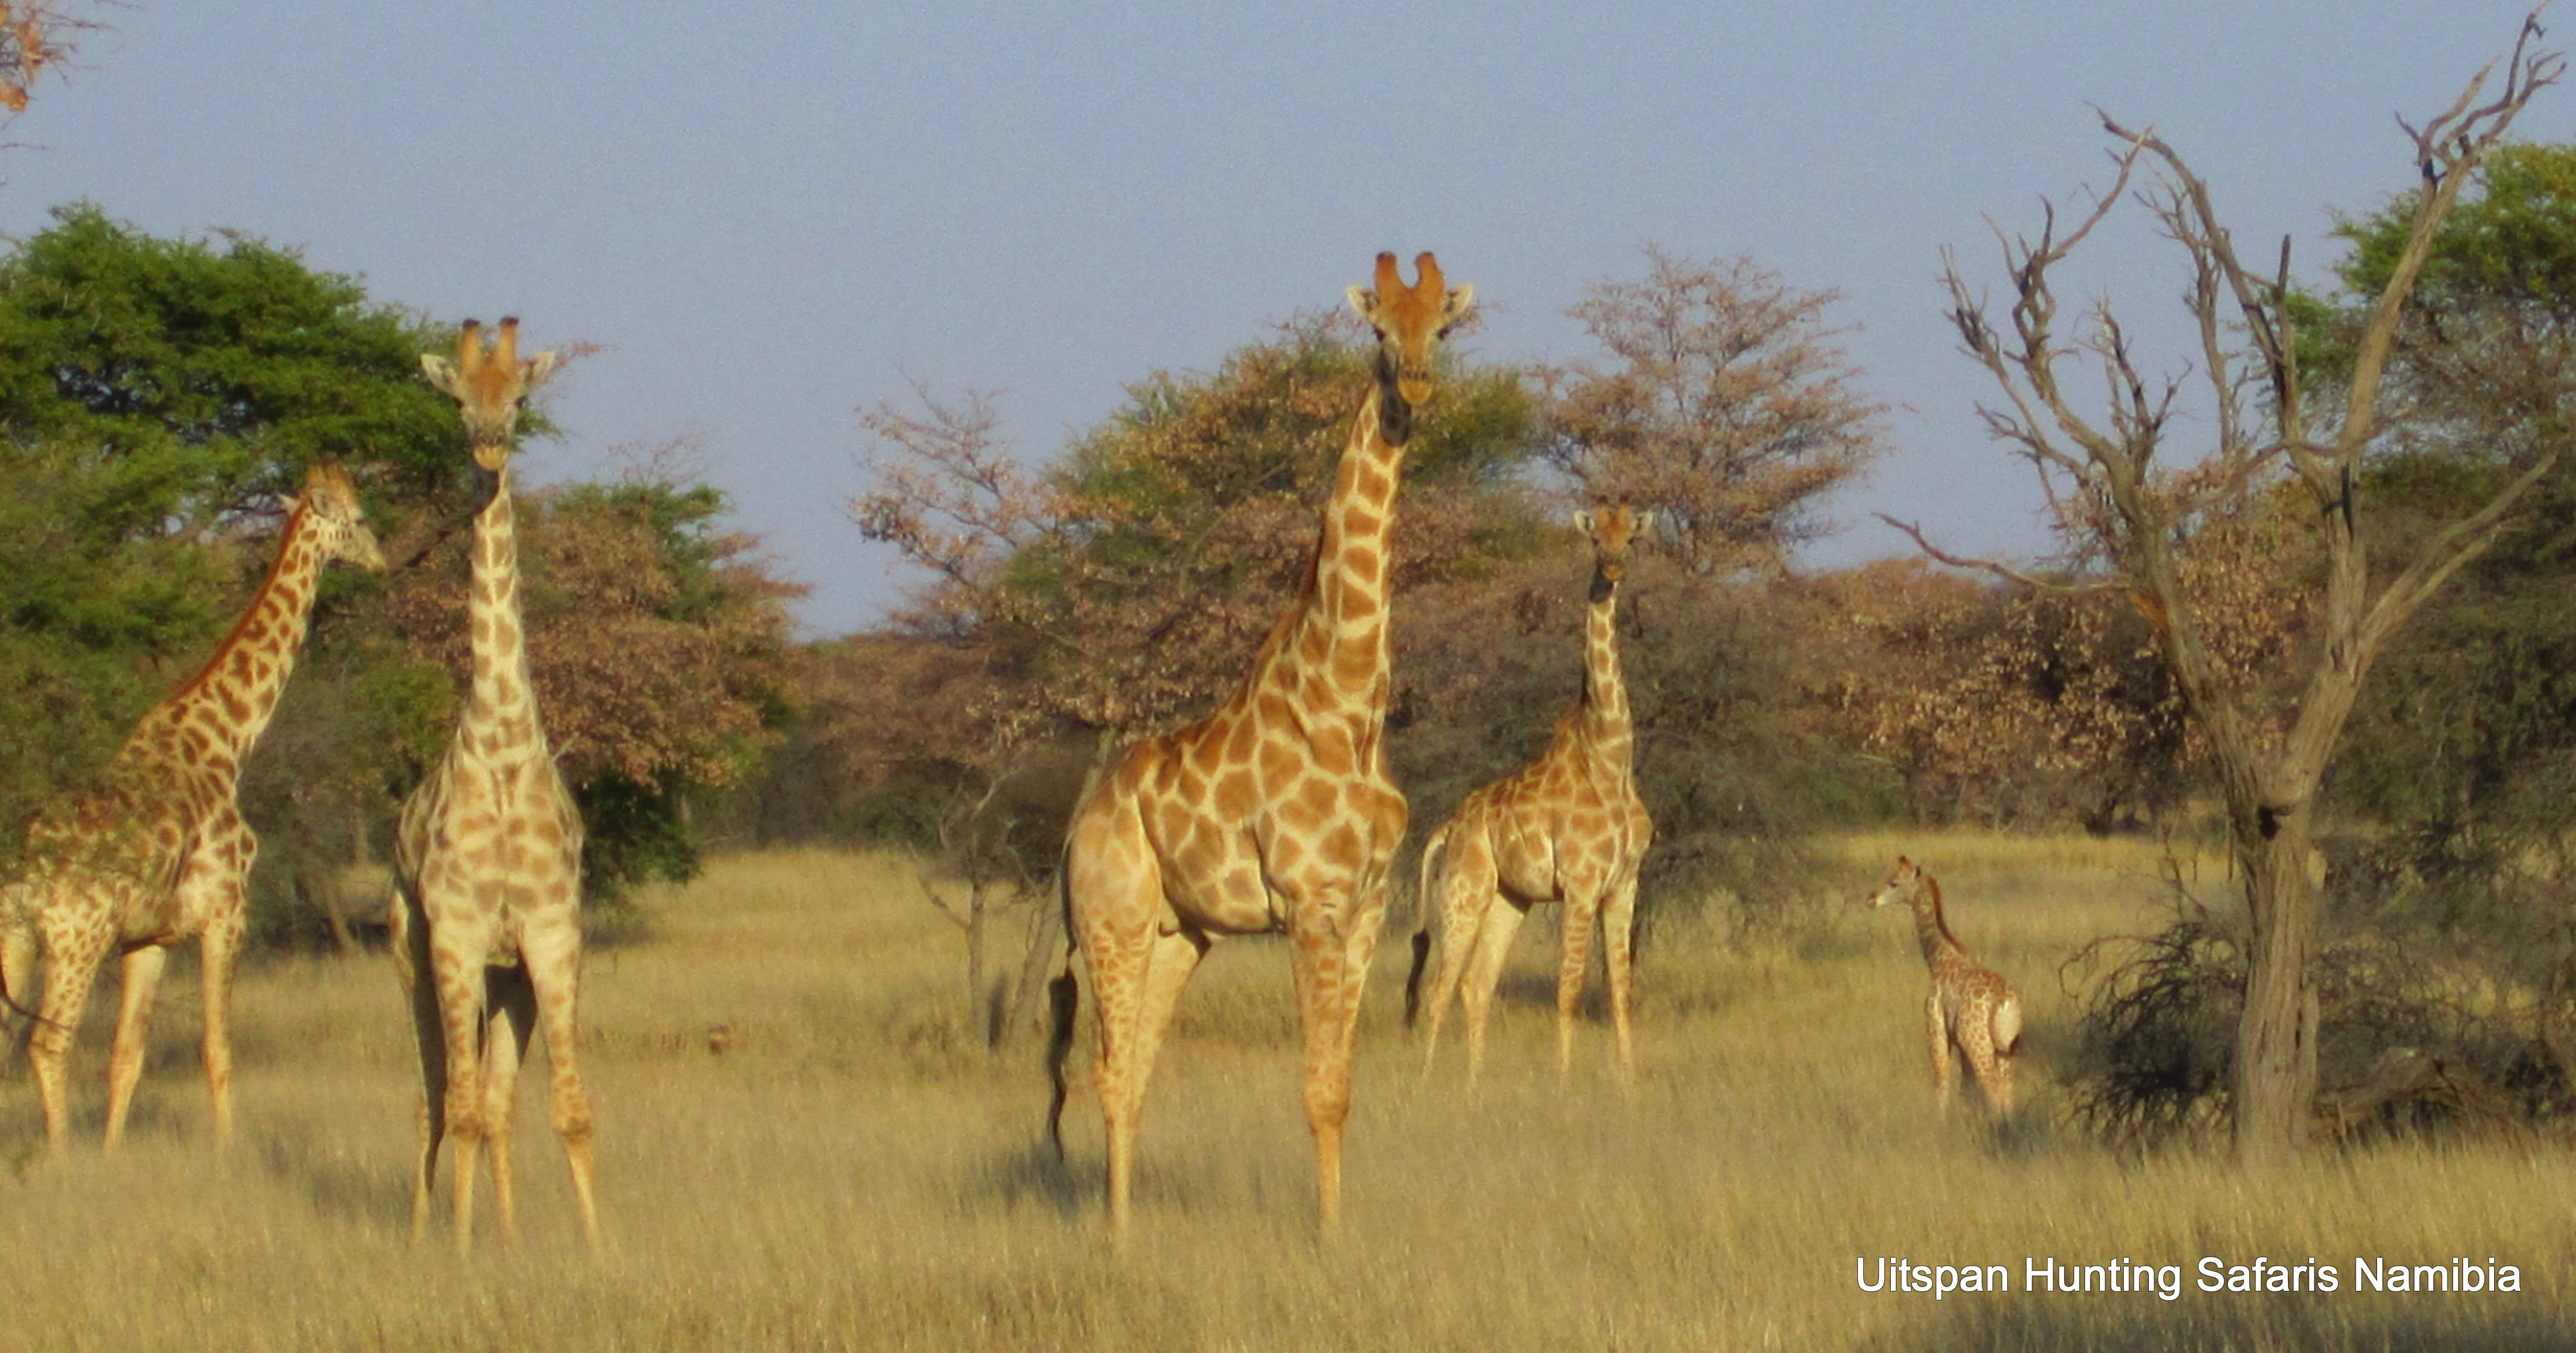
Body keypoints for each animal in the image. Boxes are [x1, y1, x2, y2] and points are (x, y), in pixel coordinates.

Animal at [0, 463, 385, 1152]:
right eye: (361, 518)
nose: (382, 558)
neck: (226, 740)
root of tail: (24, 860)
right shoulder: (226, 914)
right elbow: (217, 1048)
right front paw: (227, 1152)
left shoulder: (149, 936)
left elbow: (128, 1054)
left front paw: (112, 1155)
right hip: (75, 938)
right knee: (47, 1043)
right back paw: (59, 1156)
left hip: (15, 934)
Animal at [1045, 252, 1472, 1241]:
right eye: (1377, 331)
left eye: (1444, 327)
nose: (1415, 390)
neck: (1348, 703)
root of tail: (1076, 830)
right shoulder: (1309, 903)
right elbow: (1315, 1091)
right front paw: (1324, 1243)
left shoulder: (1367, 906)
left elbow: (1341, 1088)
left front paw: (1340, 1235)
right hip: (1114, 921)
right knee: (1107, 1072)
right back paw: (1117, 1245)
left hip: (1179, 934)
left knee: (1136, 1073)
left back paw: (1128, 1232)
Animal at [1403, 504, 1655, 1086]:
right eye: (1595, 539)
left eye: (1630, 537)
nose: (1613, 567)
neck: (1611, 758)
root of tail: (1449, 827)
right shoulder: (1582, 884)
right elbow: (1569, 992)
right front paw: (1564, 1084)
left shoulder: (1624, 884)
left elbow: (1621, 992)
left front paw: (1630, 1083)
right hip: (1464, 890)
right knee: (1439, 986)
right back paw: (1424, 1082)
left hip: (1509, 898)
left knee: (1476, 985)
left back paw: (1474, 1086)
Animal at [1866, 857, 2021, 1116]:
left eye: (1894, 882)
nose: (1870, 899)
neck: (1940, 960)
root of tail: (2003, 1001)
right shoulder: (1960, 1044)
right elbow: (1966, 1090)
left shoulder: (1936, 1029)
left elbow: (1941, 1084)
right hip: (2007, 1048)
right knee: (2007, 1089)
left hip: (1978, 1044)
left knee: (1993, 1088)